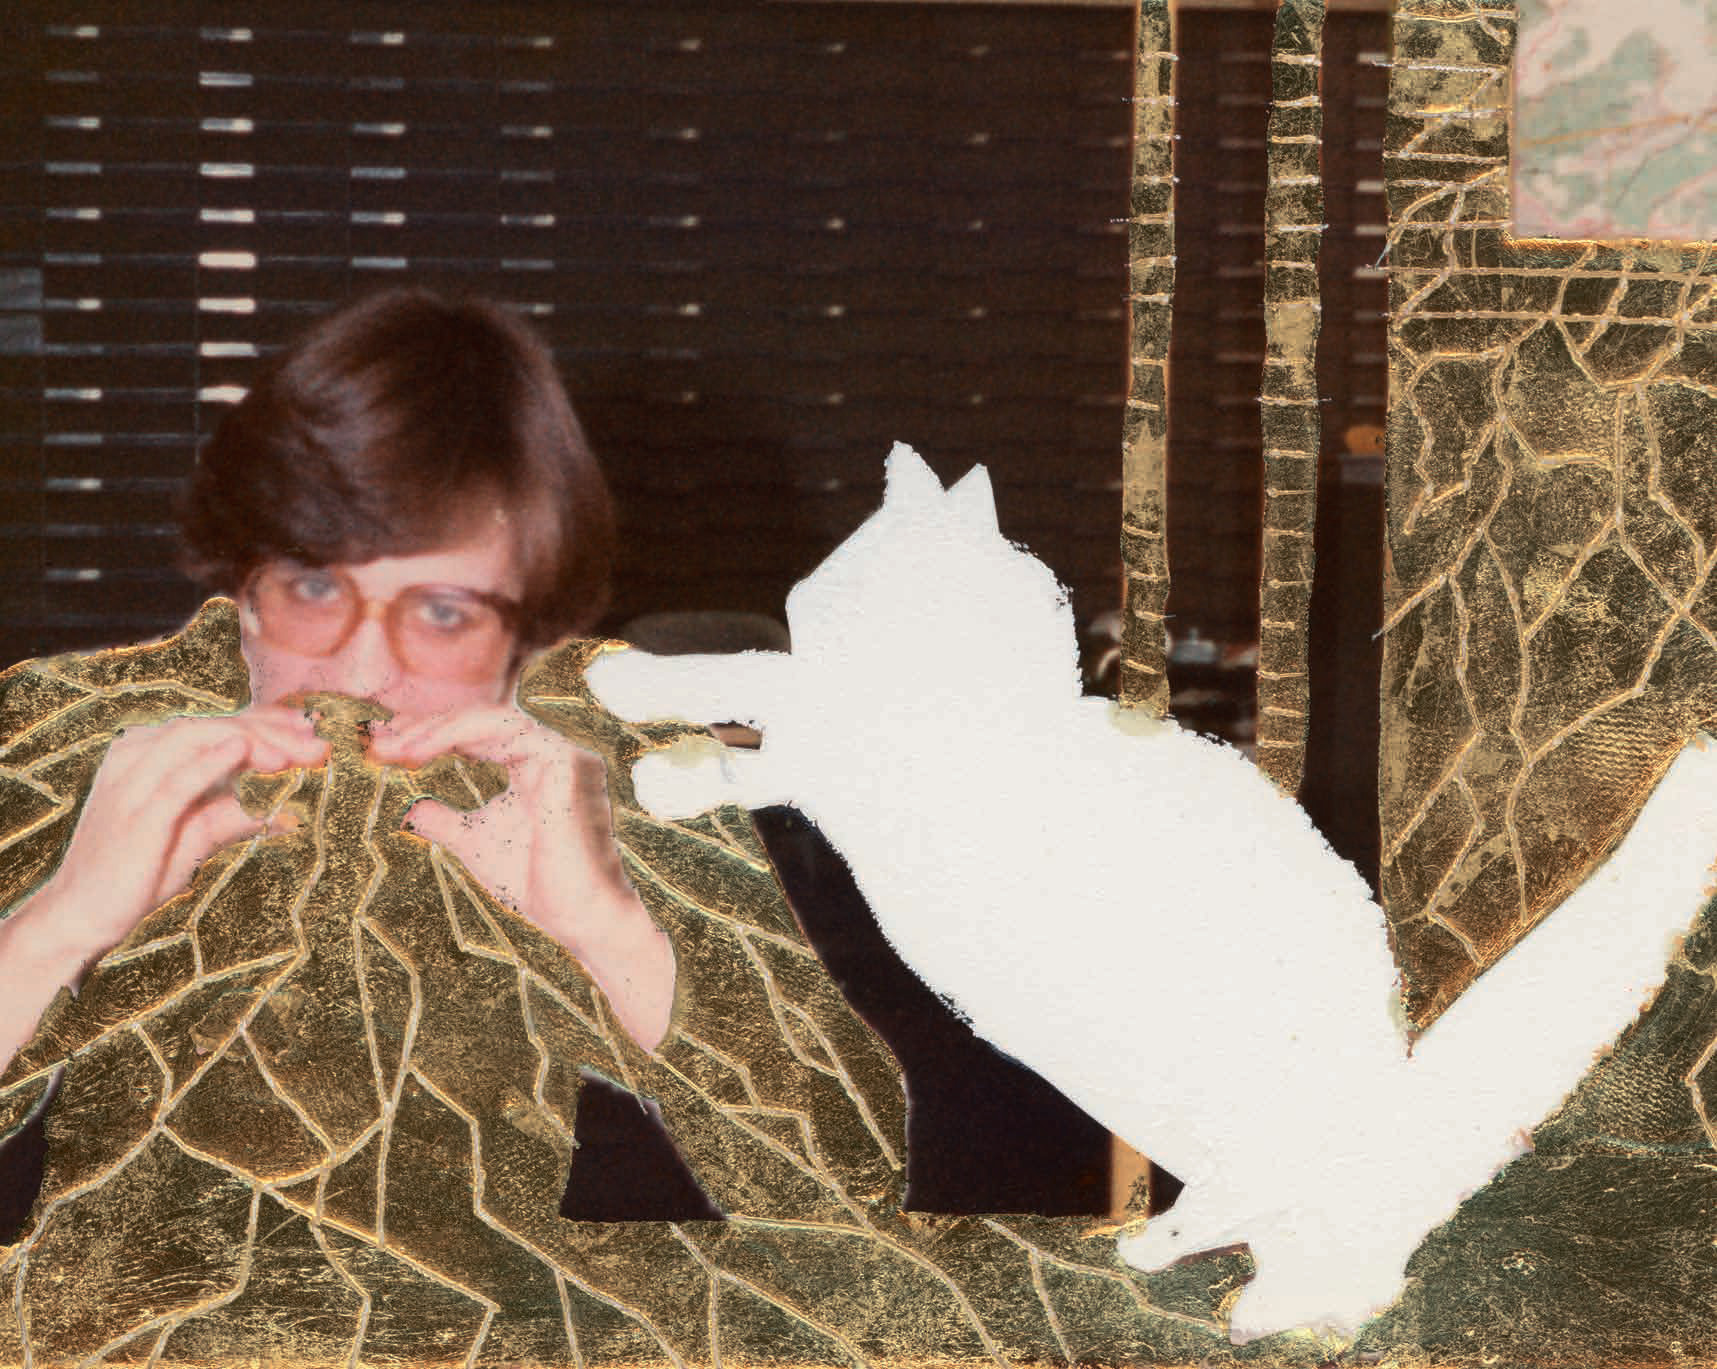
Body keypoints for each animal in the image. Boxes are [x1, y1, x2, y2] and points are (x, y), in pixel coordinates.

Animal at [587, 442, 1717, 1343]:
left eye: (845, 583)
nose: (808, 605)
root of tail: (1406, 1124)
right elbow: (754, 678)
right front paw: (633, 683)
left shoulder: (856, 746)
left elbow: (768, 707)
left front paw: (665, 753)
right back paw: (1173, 1252)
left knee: (1329, 1267)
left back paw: (1238, 1295)